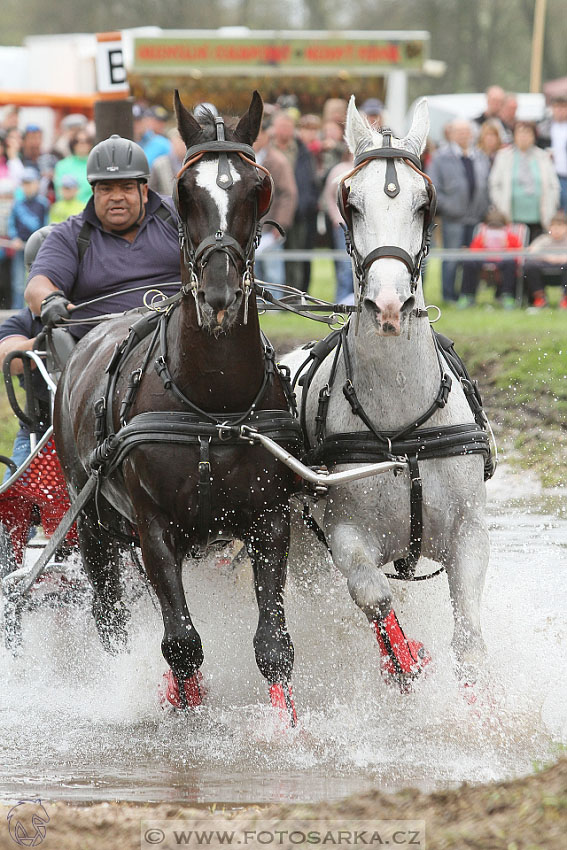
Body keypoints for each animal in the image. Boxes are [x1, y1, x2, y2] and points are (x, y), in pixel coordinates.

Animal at [54, 89, 302, 720]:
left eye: (257, 187)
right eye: (186, 191)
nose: (219, 294)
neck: (214, 406)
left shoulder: (268, 520)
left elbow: (274, 645)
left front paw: (287, 727)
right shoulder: (155, 527)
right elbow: (182, 643)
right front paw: (186, 710)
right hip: (92, 523)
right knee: (111, 616)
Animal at [284, 97, 492, 688]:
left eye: (425, 203)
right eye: (351, 202)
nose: (389, 305)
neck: (404, 430)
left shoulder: (470, 534)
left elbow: (469, 641)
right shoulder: (346, 537)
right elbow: (374, 598)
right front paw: (405, 662)